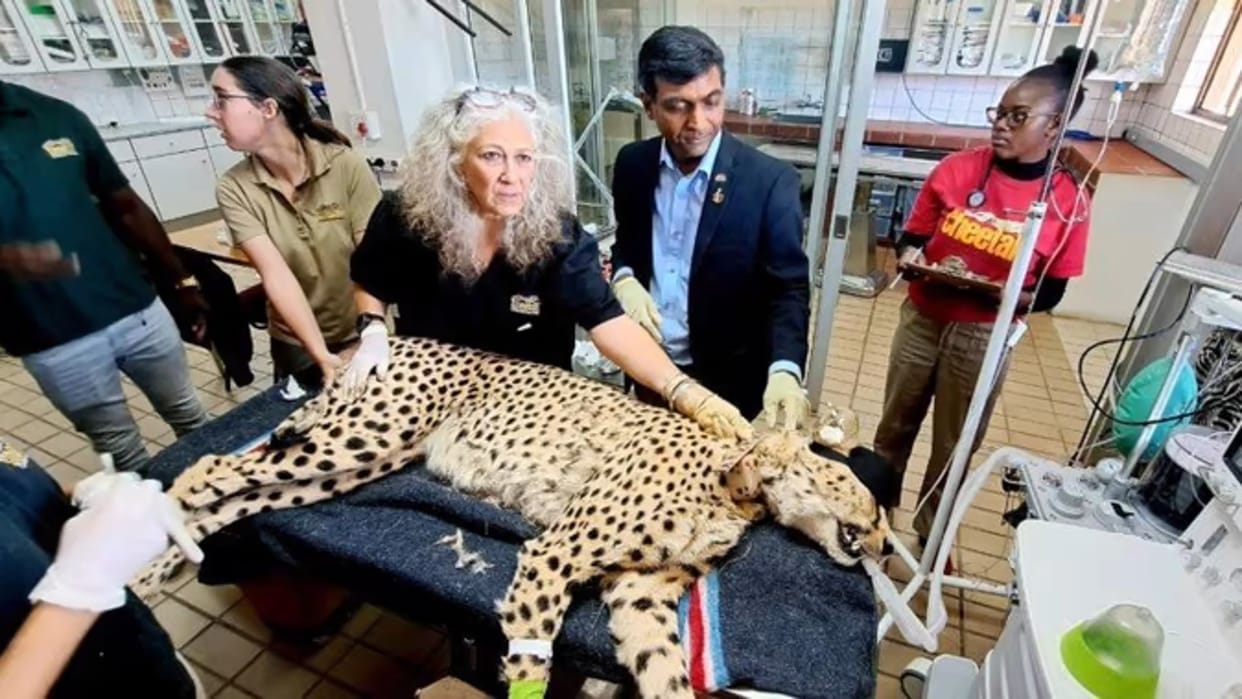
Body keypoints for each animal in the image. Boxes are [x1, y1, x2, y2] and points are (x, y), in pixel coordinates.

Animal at [132, 336, 891, 699]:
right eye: (873, 503)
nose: (885, 545)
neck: (740, 487)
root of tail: (395, 338)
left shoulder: (639, 592)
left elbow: (665, 673)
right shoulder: (555, 553)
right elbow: (531, 657)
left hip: (352, 467)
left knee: (235, 497)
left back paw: (155, 569)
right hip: (358, 438)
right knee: (208, 468)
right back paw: (130, 555)